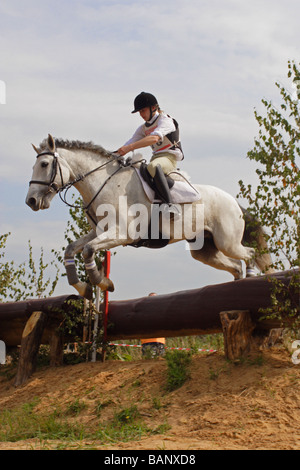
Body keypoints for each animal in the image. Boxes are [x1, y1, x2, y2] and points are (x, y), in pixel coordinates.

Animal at [25, 134, 274, 300]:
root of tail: (235, 203)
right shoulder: (98, 231)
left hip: (227, 242)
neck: (104, 183)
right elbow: (72, 249)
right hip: (205, 249)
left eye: (44, 164)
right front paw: (84, 288)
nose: (31, 201)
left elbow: (87, 250)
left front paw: (102, 282)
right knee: (235, 266)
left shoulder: (121, 234)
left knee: (249, 254)